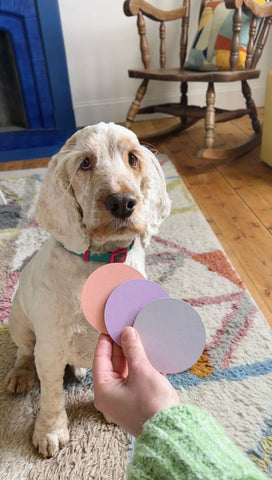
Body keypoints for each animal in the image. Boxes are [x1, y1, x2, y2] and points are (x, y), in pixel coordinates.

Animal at [5, 123, 170, 458]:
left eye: (133, 159)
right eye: (84, 163)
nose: (122, 202)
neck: (99, 261)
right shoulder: (50, 349)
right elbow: (52, 394)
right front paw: (50, 431)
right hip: (19, 323)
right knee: (24, 352)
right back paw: (21, 375)